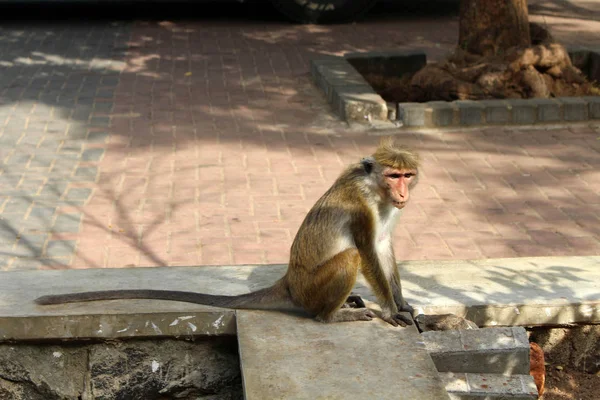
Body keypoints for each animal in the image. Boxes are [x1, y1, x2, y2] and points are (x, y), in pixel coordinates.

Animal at [35, 138, 420, 328]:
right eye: (393, 176)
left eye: (407, 176)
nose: (403, 193)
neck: (376, 190)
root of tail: (289, 283)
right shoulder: (360, 207)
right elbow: (367, 251)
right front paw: (391, 311)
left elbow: (382, 246)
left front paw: (401, 302)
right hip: (311, 289)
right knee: (350, 257)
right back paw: (331, 315)